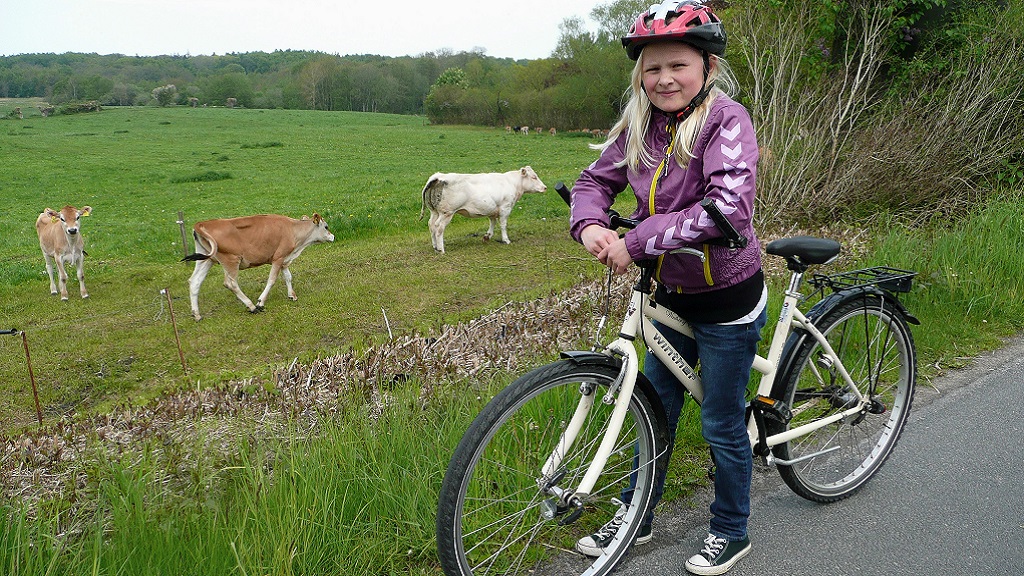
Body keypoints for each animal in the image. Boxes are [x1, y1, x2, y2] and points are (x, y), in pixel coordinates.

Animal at [180, 212, 331, 317]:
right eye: (326, 226)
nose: (333, 236)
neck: (293, 230)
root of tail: (203, 223)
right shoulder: (278, 258)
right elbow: (271, 280)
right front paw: (260, 302)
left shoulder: (284, 259)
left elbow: (288, 277)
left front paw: (292, 295)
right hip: (231, 260)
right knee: (230, 283)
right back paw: (252, 306)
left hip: (206, 259)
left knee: (195, 281)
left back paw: (197, 315)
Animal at [415, 165, 548, 252]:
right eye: (534, 177)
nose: (545, 187)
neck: (512, 183)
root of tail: (438, 176)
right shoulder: (505, 207)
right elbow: (503, 225)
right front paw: (506, 240)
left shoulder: (492, 208)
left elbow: (492, 222)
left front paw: (487, 236)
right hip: (447, 213)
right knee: (439, 227)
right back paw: (441, 249)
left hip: (434, 211)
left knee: (431, 225)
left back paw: (435, 246)